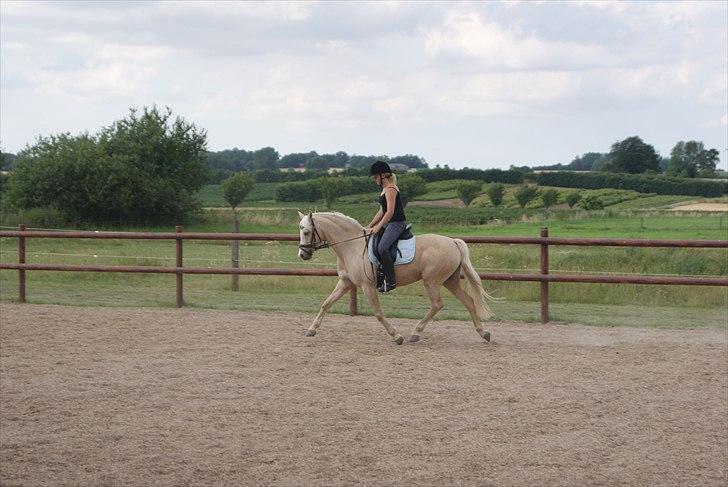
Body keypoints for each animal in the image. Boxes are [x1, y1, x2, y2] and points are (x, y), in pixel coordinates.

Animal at [297, 211, 498, 344]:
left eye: (306, 232)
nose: (302, 255)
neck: (352, 246)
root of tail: (452, 241)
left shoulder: (367, 286)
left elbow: (378, 313)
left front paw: (396, 336)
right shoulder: (346, 283)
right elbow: (326, 304)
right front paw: (311, 330)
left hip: (432, 281)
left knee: (437, 304)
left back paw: (415, 333)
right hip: (450, 281)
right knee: (469, 301)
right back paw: (484, 333)